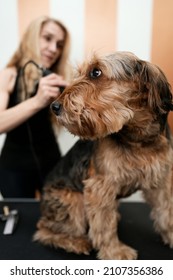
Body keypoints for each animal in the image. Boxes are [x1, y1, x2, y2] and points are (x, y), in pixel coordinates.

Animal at [33, 51, 173, 260]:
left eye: (96, 72)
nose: (54, 107)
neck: (137, 137)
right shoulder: (101, 186)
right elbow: (105, 224)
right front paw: (115, 251)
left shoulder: (162, 180)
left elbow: (166, 211)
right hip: (73, 202)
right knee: (43, 230)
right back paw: (76, 242)